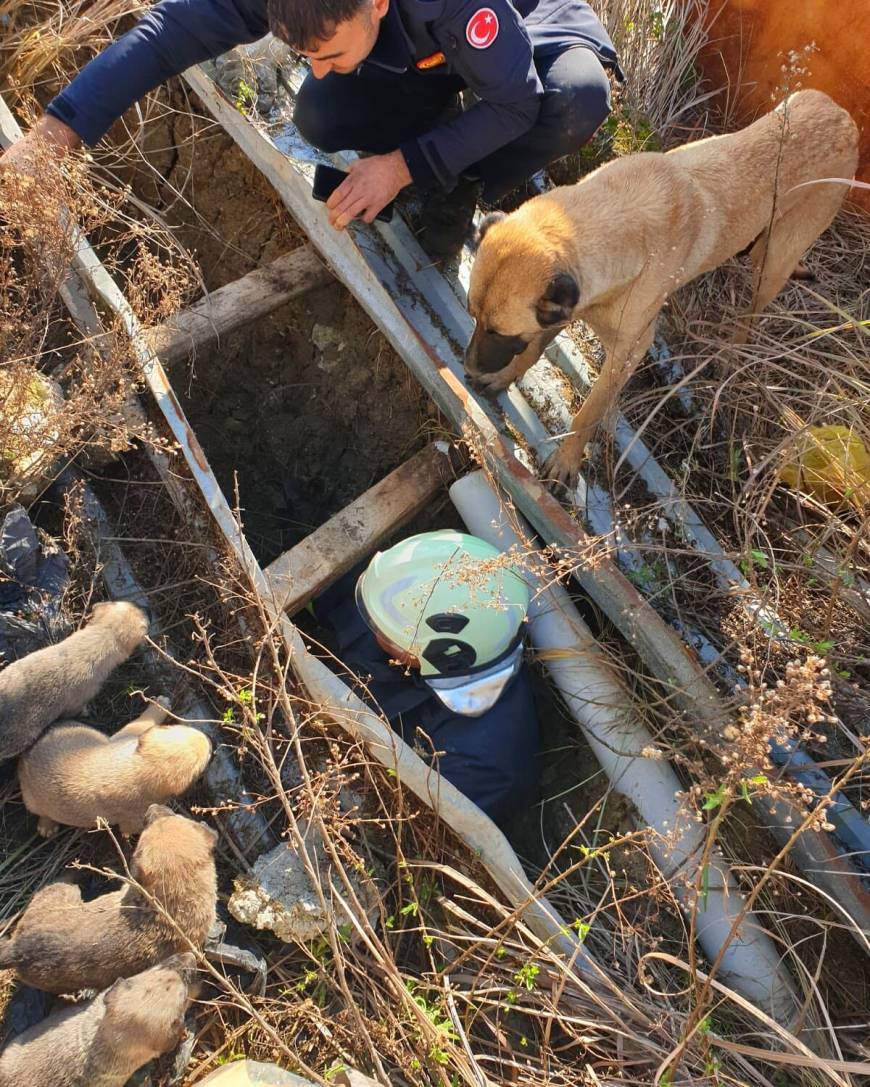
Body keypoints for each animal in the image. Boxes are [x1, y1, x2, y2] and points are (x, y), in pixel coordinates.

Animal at [18, 700, 212, 834]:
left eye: (173, 728)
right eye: (205, 761)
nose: (208, 739)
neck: (138, 769)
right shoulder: (135, 819)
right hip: (31, 800)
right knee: (43, 813)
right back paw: (47, 826)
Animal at [465, 86, 861, 486]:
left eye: (498, 332)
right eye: (474, 317)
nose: (469, 369)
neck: (612, 221)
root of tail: (842, 115)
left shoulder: (628, 353)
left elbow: (589, 412)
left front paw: (568, 459)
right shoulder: (562, 309)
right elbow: (532, 349)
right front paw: (505, 376)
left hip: (771, 262)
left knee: (749, 317)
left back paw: (730, 357)